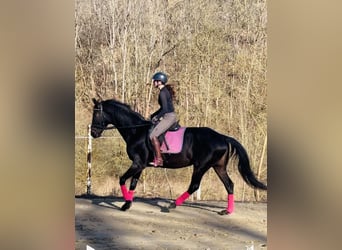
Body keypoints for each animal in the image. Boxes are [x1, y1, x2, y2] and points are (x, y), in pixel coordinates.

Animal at [89, 97, 266, 215]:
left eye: (96, 114)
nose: (93, 133)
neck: (136, 130)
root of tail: (223, 137)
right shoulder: (140, 165)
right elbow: (133, 183)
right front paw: (128, 203)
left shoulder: (137, 163)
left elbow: (122, 179)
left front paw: (125, 204)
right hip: (218, 166)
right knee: (229, 185)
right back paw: (227, 211)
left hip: (201, 166)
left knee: (194, 185)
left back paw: (171, 205)